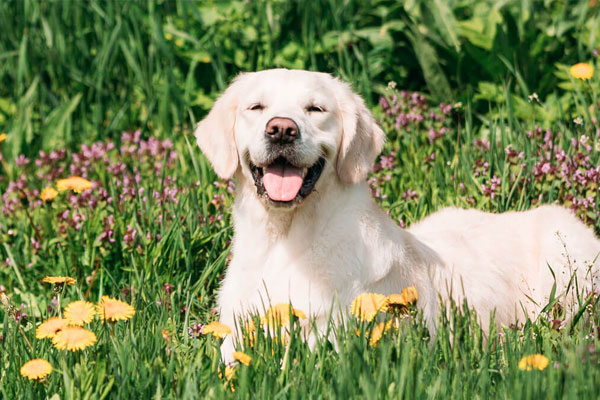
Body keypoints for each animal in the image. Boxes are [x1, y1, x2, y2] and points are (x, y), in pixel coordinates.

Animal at [195, 67, 596, 360]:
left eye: (315, 109)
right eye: (256, 108)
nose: (281, 130)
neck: (285, 239)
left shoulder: (335, 338)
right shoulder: (236, 332)